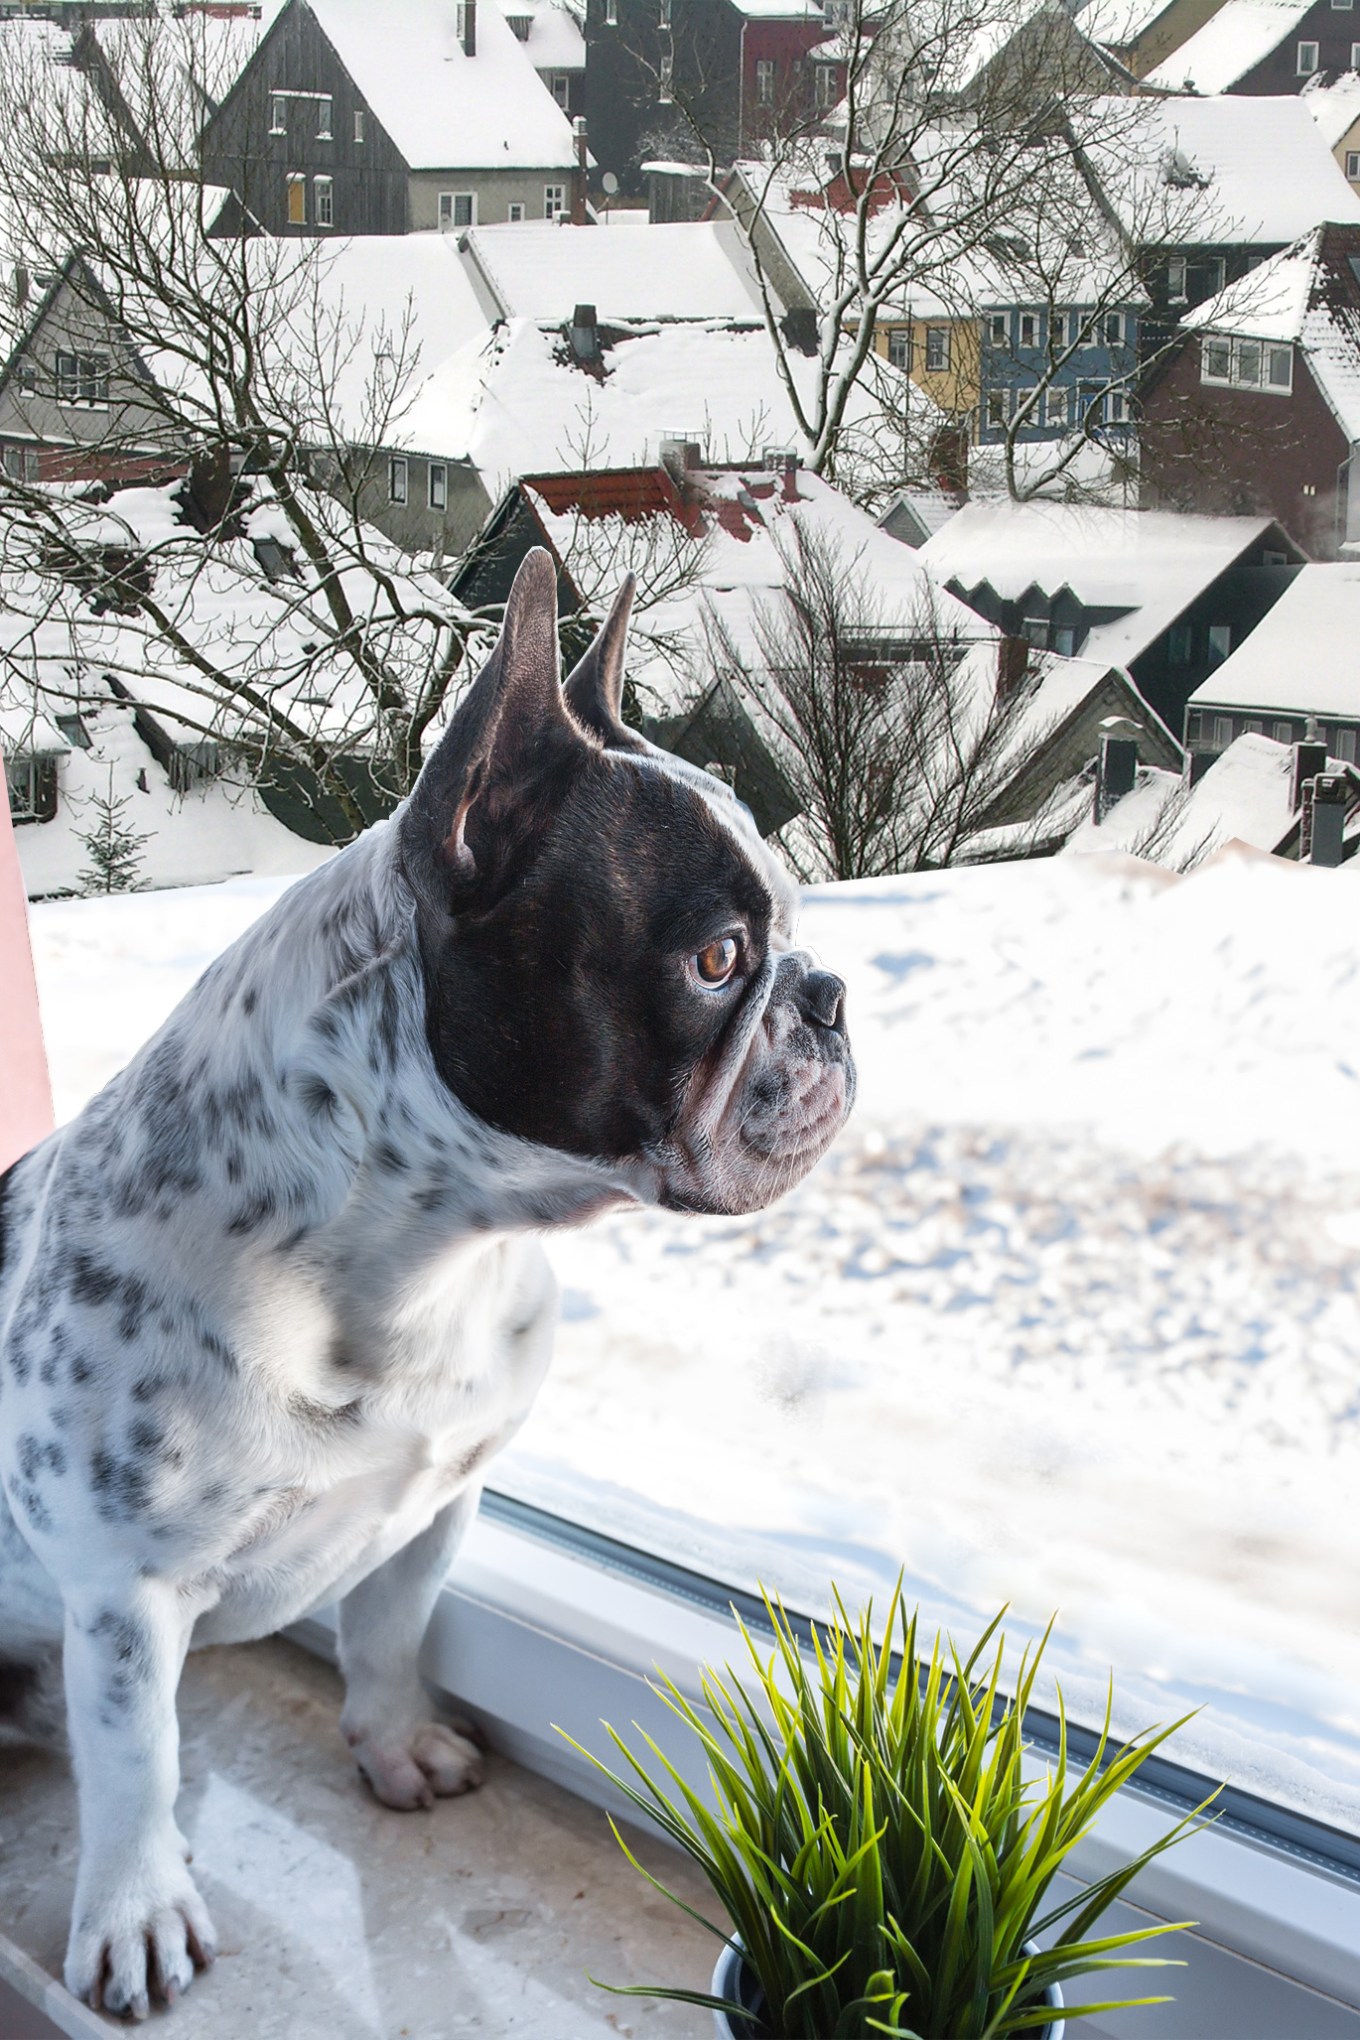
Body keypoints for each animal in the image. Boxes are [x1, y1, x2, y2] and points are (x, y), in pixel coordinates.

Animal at [0, 550, 852, 2015]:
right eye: (718, 962)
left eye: (788, 936)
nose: (832, 997)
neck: (419, 1253)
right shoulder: (122, 1597)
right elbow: (136, 1761)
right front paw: (136, 1908)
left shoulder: (438, 1499)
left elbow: (391, 1633)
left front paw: (396, 1746)